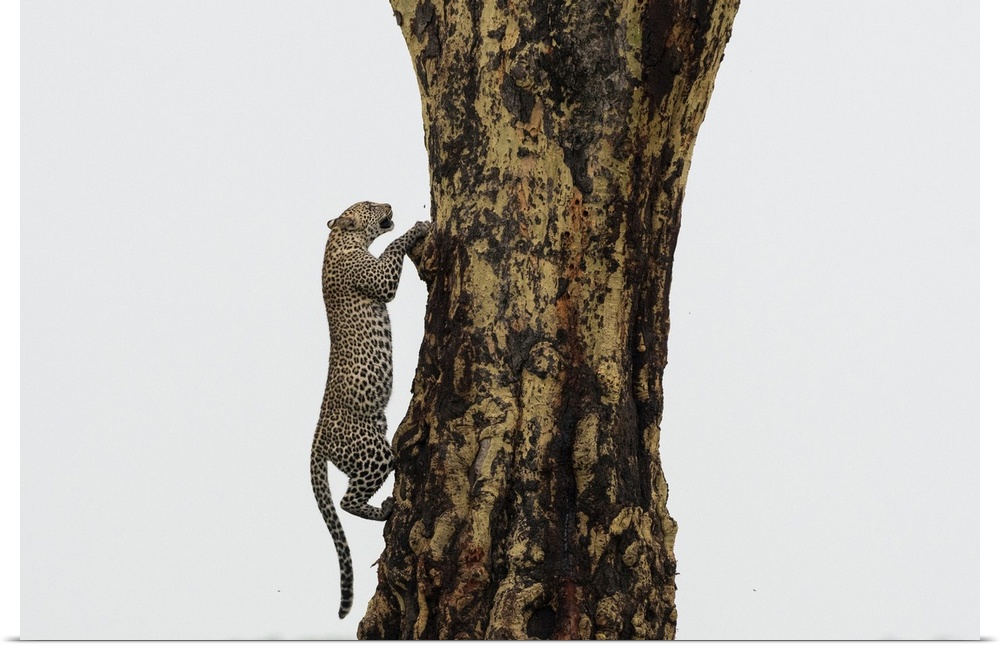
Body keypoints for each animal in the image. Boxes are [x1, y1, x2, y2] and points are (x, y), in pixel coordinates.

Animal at [310, 201, 430, 619]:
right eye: (367, 205)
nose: (389, 204)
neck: (337, 240)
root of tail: (317, 441)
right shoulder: (379, 279)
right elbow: (392, 248)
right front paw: (418, 228)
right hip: (372, 452)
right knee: (347, 500)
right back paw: (387, 507)